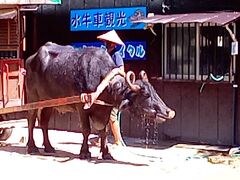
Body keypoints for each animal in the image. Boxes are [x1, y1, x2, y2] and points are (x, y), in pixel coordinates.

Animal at [25, 41, 175, 159]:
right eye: (146, 94)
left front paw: (106, 153)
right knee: (31, 120)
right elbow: (86, 130)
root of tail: (30, 59)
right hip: (33, 99)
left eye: (154, 91)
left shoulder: (105, 109)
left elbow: (104, 131)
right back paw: (32, 147)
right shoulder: (82, 107)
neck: (104, 84)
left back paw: (49, 147)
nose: (169, 112)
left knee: (44, 123)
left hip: (48, 102)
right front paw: (84, 152)